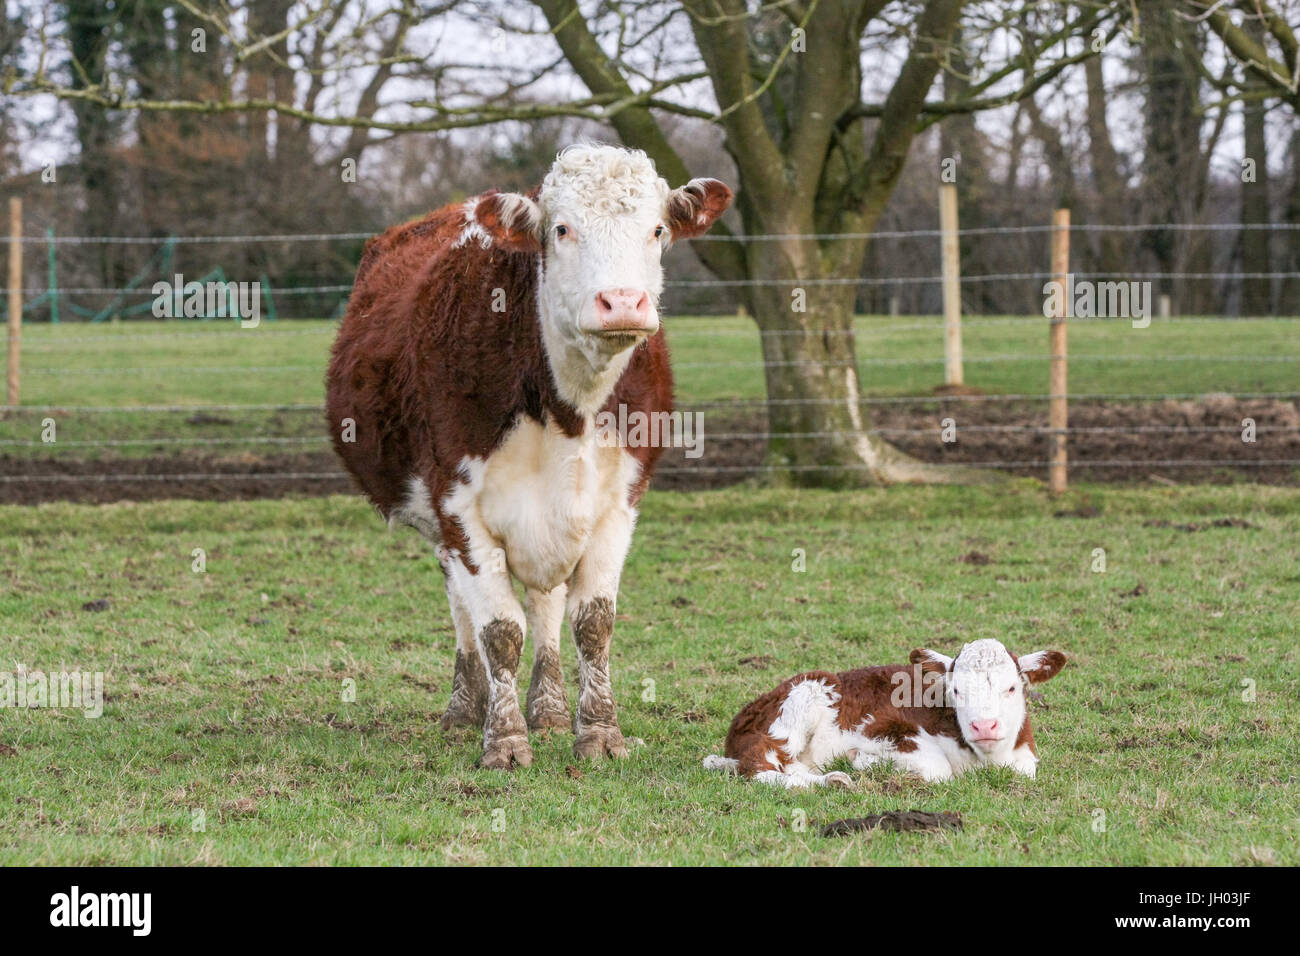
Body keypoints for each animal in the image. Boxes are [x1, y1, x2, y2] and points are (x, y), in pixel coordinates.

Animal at [325, 144, 732, 769]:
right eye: (561, 229)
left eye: (657, 229)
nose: (622, 303)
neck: (569, 409)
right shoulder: (457, 506)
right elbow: (498, 629)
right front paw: (505, 740)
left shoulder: (618, 504)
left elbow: (592, 622)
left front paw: (598, 734)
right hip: (439, 522)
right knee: (465, 608)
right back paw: (466, 708)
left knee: (546, 602)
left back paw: (549, 709)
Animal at [703, 639, 1067, 787]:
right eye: (956, 690)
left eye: (1011, 688)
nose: (984, 726)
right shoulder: (880, 726)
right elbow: (937, 769)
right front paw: (865, 760)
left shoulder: (1025, 759)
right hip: (805, 694)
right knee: (759, 767)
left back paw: (832, 778)